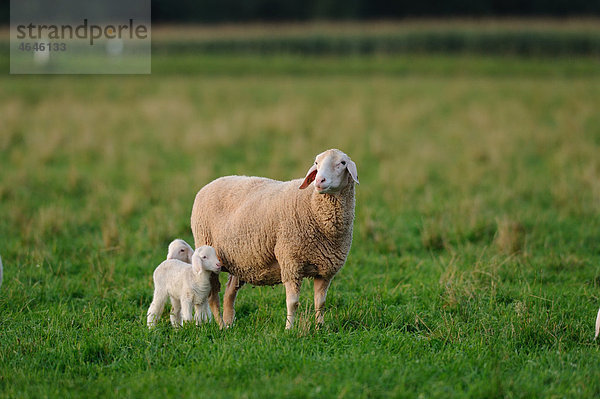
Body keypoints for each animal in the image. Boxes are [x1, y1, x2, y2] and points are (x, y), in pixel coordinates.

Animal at [191, 148, 356, 330]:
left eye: (342, 163)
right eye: (316, 163)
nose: (319, 180)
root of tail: (209, 184)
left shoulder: (325, 270)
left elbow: (320, 303)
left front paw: (320, 327)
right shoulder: (290, 262)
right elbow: (293, 302)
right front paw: (289, 329)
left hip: (239, 261)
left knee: (229, 294)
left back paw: (228, 325)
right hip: (208, 253)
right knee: (213, 298)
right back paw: (221, 326)